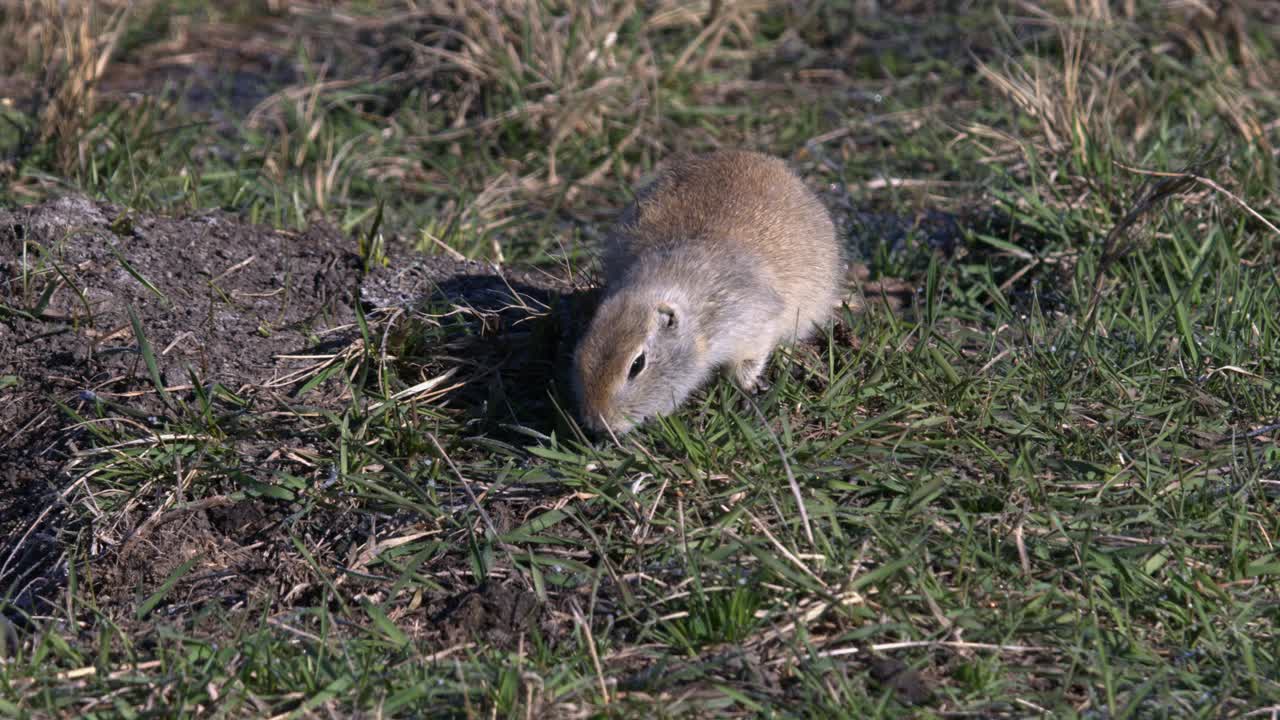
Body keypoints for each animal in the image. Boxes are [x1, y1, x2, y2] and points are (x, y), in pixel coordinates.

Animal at [572, 149, 844, 435]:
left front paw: (749, 392)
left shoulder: (751, 321)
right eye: (581, 352)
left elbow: (749, 361)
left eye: (637, 365)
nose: (598, 422)